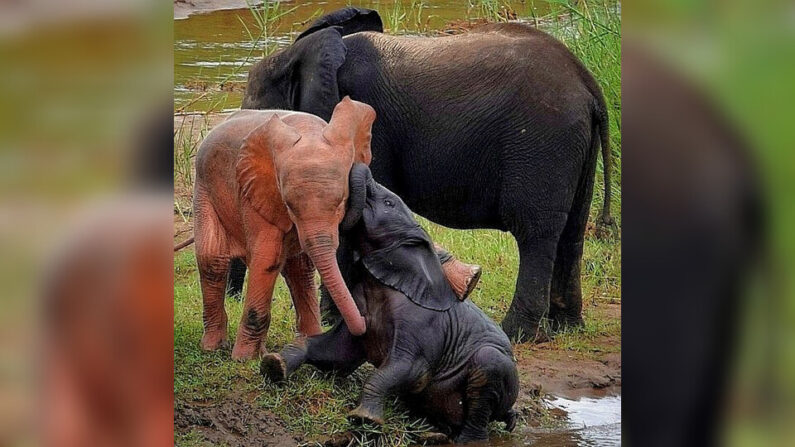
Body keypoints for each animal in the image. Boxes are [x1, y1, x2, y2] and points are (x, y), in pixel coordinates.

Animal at [235, 7, 616, 342]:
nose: (235, 299)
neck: (299, 52)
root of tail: (589, 87)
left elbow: (351, 216)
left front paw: (340, 320)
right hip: (573, 147)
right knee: (572, 230)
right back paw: (567, 327)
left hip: (543, 141)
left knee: (536, 232)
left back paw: (517, 333)